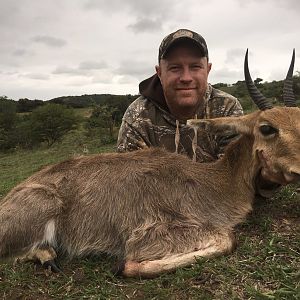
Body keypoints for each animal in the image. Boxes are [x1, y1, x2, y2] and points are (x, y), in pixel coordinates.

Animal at [0, 50, 298, 278]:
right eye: (267, 128)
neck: (216, 182)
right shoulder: (147, 235)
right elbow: (227, 239)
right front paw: (125, 266)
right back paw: (48, 256)